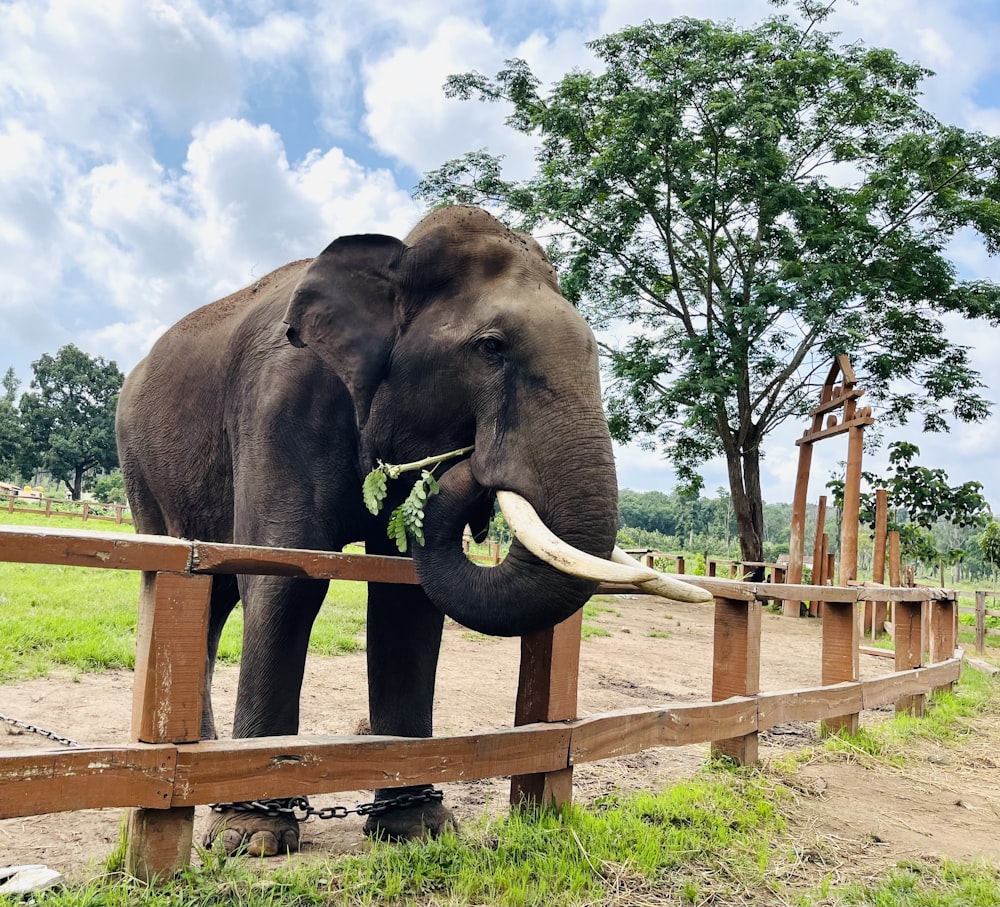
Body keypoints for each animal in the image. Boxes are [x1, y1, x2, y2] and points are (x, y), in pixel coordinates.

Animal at [115, 206, 648, 860]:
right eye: (491, 348)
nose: (472, 462)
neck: (396, 256)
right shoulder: (280, 403)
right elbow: (286, 574)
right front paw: (253, 837)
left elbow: (406, 595)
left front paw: (418, 829)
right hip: (140, 466)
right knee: (175, 575)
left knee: (211, 599)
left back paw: (206, 763)